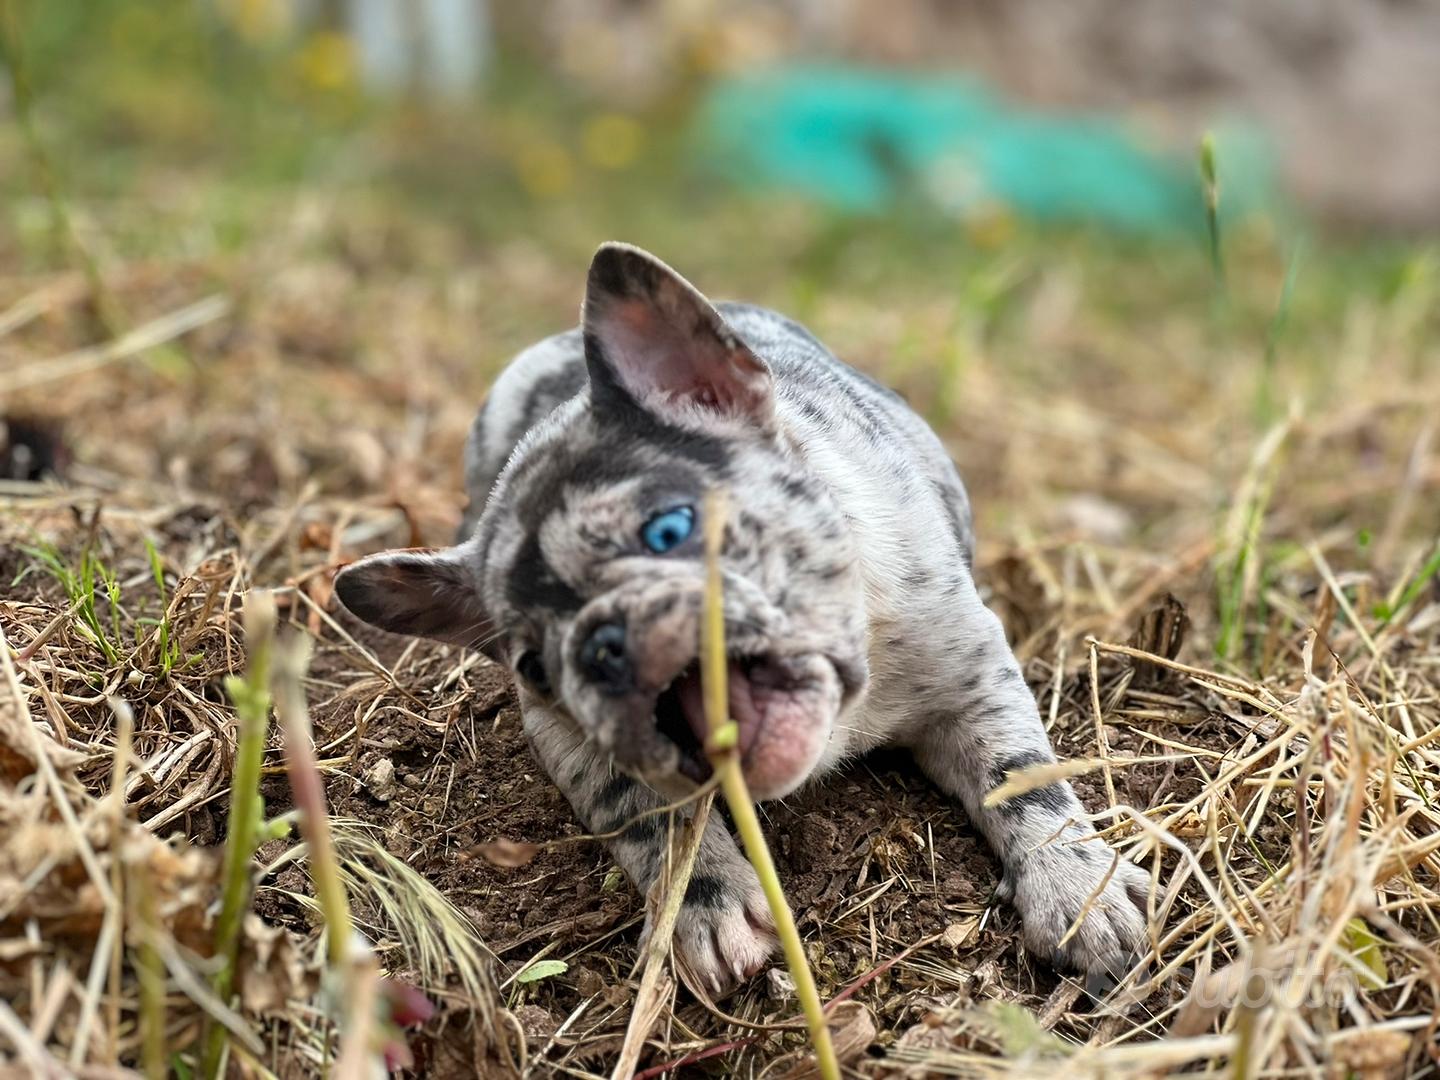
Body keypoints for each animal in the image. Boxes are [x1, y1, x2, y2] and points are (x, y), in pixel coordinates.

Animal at [329, 240, 1146, 996]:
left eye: (669, 529)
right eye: (534, 666)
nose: (602, 644)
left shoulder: (973, 674)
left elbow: (1022, 777)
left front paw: (1079, 891)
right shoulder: (577, 745)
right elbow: (650, 816)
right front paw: (707, 906)